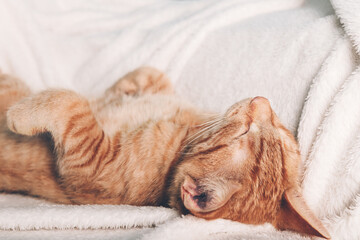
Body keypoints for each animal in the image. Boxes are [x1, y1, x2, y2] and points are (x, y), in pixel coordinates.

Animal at [0, 67, 330, 238]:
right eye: (280, 130)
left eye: (243, 132)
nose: (261, 100)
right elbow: (152, 75)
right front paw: (122, 89)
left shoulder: (91, 162)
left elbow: (72, 103)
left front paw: (19, 114)